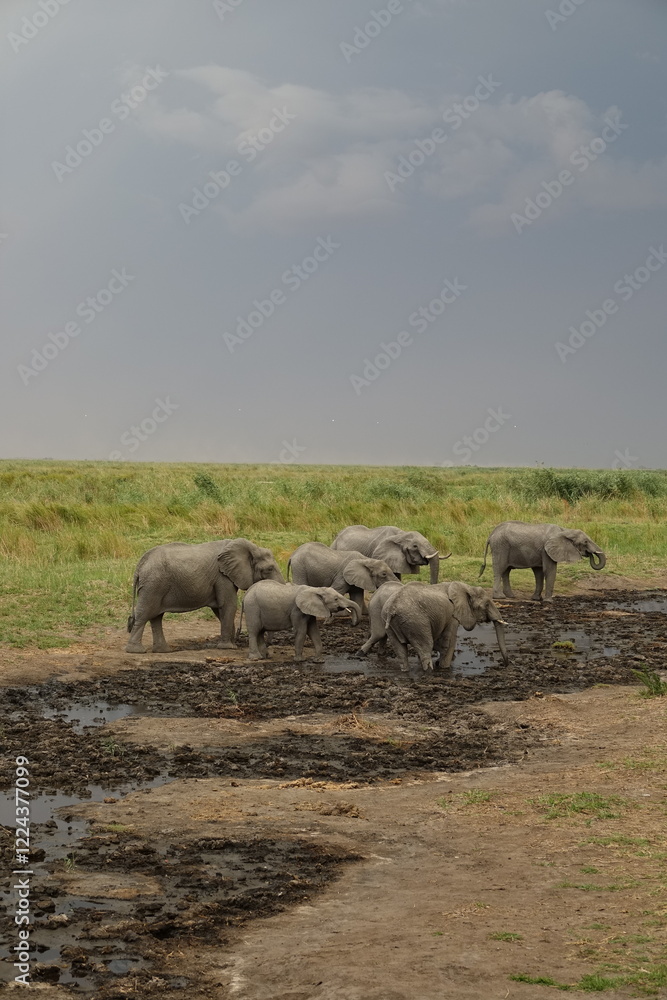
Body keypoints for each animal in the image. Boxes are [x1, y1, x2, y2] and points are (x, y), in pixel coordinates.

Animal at [126, 538, 284, 653]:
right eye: (269, 569)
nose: (269, 644)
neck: (251, 547)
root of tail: (139, 565)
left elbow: (220, 610)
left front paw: (231, 643)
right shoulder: (222, 577)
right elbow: (229, 605)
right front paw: (229, 647)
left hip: (155, 586)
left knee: (156, 617)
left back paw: (163, 651)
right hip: (153, 585)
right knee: (145, 614)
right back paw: (136, 651)